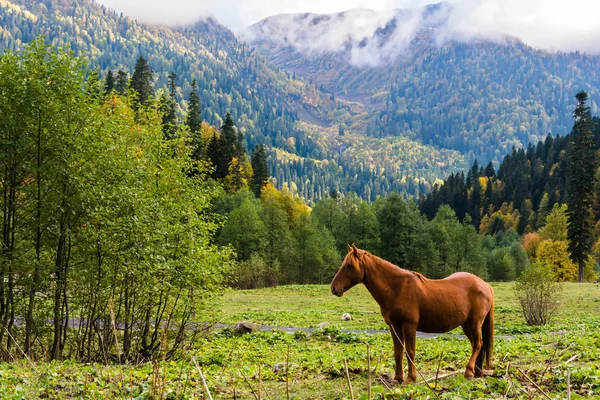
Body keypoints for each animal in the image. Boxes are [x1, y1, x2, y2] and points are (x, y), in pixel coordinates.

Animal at [330, 245, 494, 382]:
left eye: (349, 265)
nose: (334, 288)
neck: (396, 288)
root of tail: (485, 285)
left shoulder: (409, 326)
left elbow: (410, 351)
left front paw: (411, 378)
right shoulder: (394, 327)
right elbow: (398, 353)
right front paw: (398, 378)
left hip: (474, 323)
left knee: (478, 345)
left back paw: (469, 372)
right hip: (466, 325)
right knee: (478, 346)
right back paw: (477, 373)